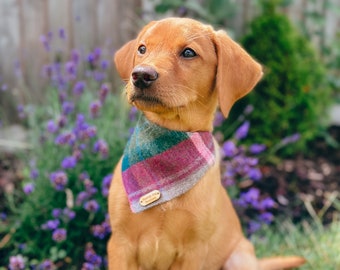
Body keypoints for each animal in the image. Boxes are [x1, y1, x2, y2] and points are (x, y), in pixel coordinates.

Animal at [107, 17, 306, 270]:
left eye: (188, 53)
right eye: (142, 49)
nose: (141, 75)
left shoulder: (194, 251)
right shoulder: (120, 243)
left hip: (238, 258)